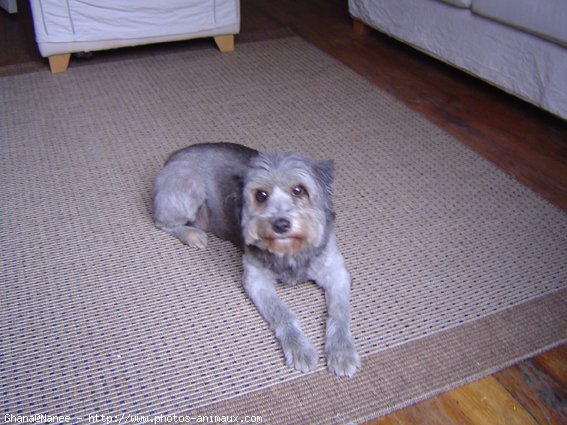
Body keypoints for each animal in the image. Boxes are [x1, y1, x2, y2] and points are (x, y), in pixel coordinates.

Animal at [155, 142, 360, 374]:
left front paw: (342, 351)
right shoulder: (256, 281)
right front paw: (300, 348)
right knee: (163, 223)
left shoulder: (336, 273)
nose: (281, 224)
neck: (290, 250)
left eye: (299, 190)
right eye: (261, 195)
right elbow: (282, 314)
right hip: (189, 188)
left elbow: (339, 314)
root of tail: (174, 156)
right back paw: (192, 235)